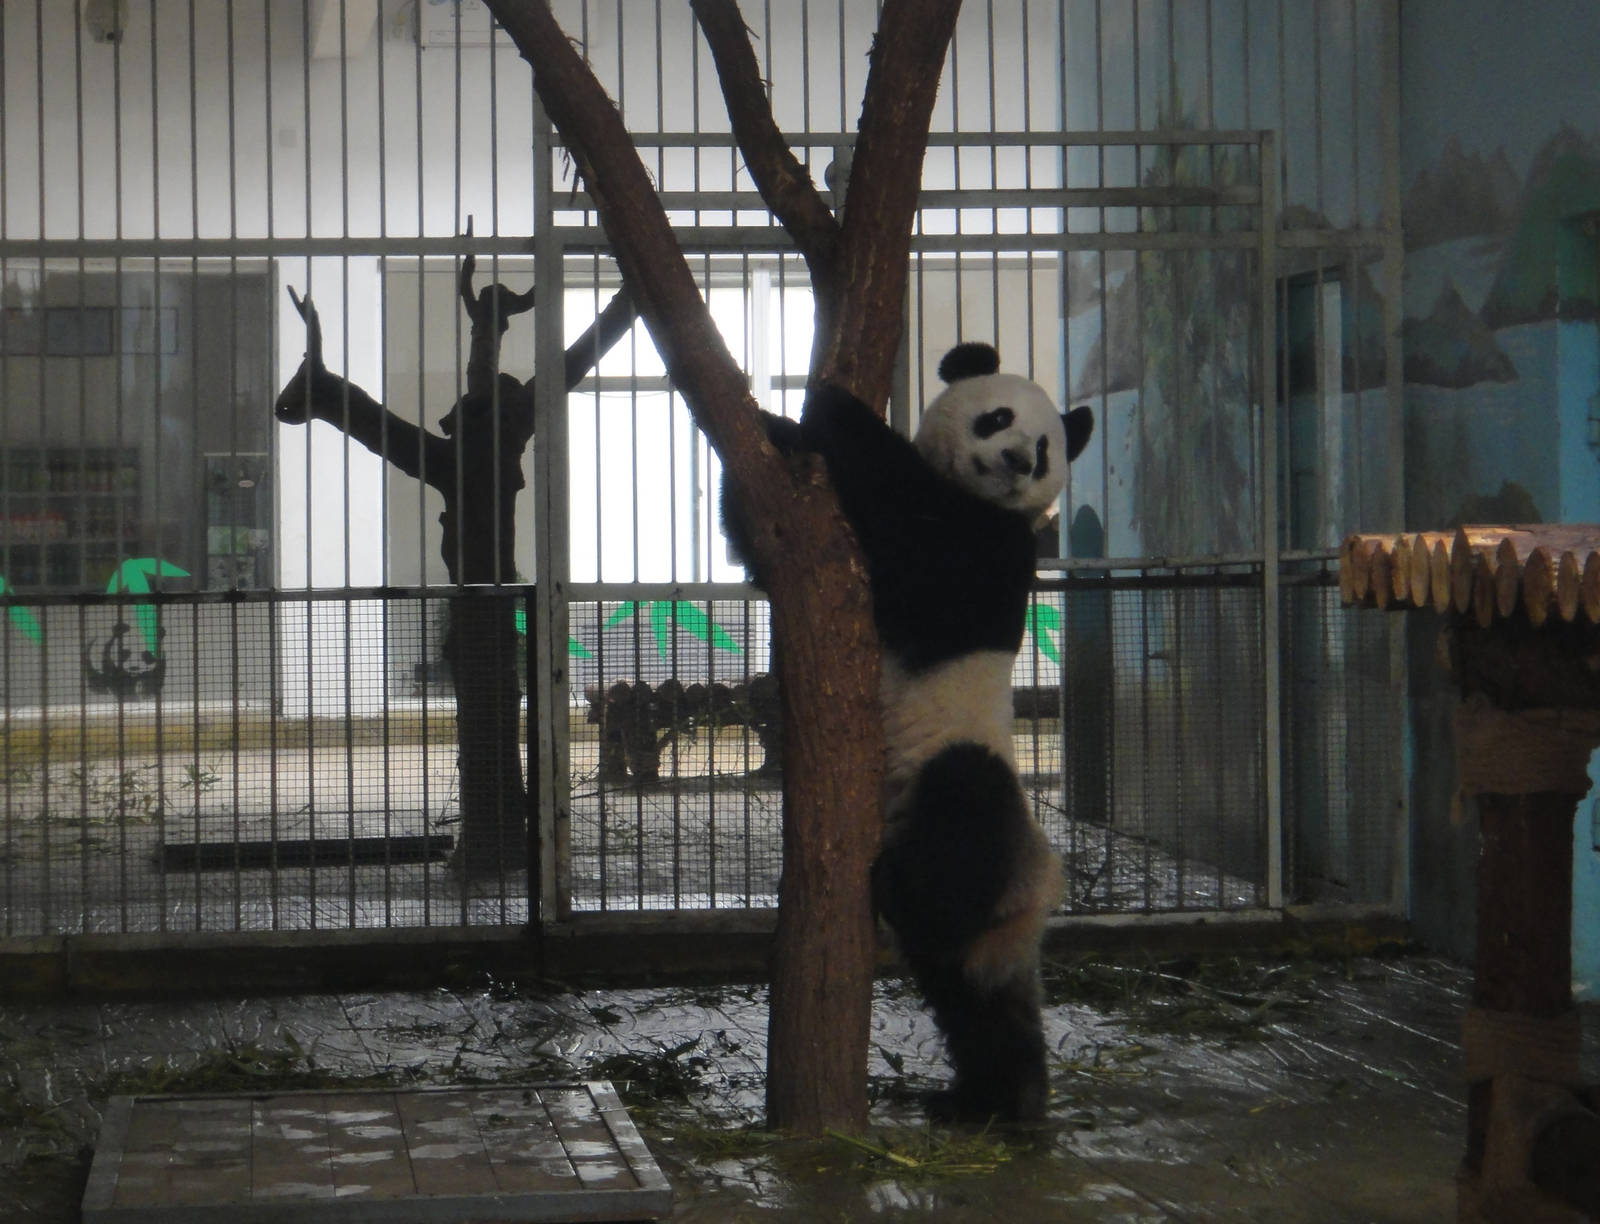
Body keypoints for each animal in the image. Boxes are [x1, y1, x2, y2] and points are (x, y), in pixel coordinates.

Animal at [725, 341, 1092, 1124]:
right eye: (999, 417)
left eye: (1046, 447)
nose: (1018, 461)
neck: (977, 499)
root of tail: (1035, 887)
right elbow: (761, 549)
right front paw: (773, 428)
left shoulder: (993, 552)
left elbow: (924, 561)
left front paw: (830, 407)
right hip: (978, 945)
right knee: (972, 1000)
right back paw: (995, 1099)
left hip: (965, 783)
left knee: (963, 815)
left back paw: (900, 891)